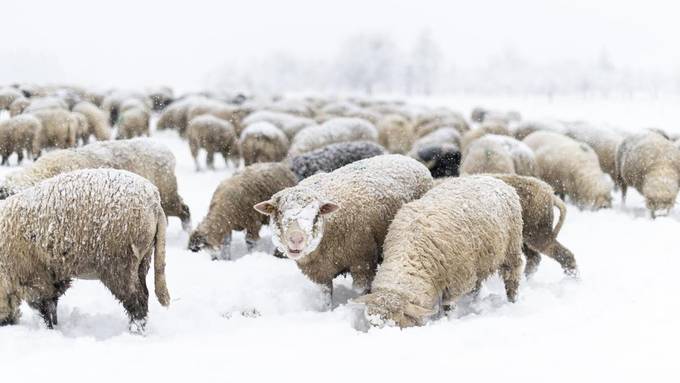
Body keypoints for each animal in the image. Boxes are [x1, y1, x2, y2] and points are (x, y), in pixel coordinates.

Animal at [252, 154, 432, 308]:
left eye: (316, 215)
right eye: (280, 212)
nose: (296, 240)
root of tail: (406, 157)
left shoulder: (362, 261)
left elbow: (360, 291)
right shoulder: (320, 273)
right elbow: (325, 296)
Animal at [350, 176, 520, 328]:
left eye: (396, 323)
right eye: (371, 324)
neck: (411, 252)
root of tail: (493, 178)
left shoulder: (457, 281)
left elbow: (448, 305)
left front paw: (447, 319)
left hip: (512, 247)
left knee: (512, 275)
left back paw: (512, 300)